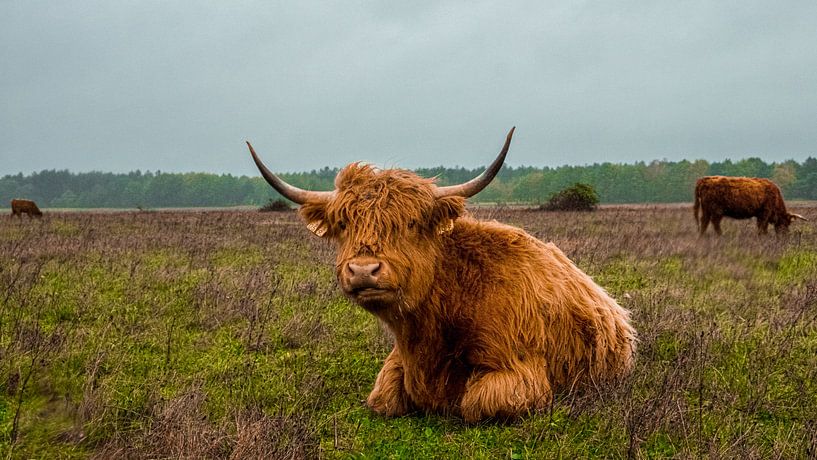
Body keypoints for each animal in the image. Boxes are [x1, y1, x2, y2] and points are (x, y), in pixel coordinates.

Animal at [245, 127, 636, 422]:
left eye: (410, 224)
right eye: (343, 225)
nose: (363, 270)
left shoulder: (521, 372)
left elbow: (476, 403)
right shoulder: (396, 364)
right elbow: (383, 398)